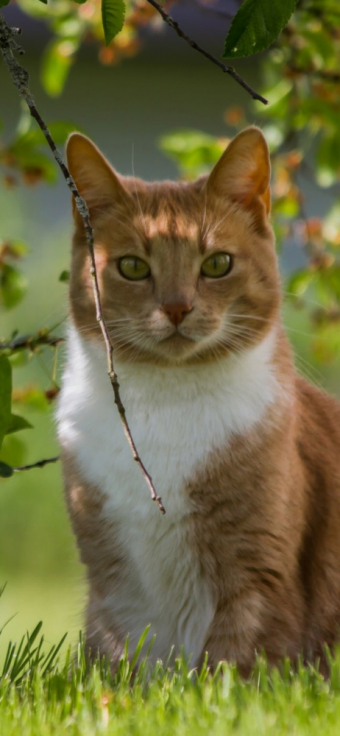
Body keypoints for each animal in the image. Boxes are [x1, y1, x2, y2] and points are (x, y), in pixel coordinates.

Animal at [56, 128, 340, 680]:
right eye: (132, 267)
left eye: (216, 264)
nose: (176, 307)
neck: (166, 406)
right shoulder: (113, 588)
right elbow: (123, 666)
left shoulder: (258, 577)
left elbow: (232, 665)